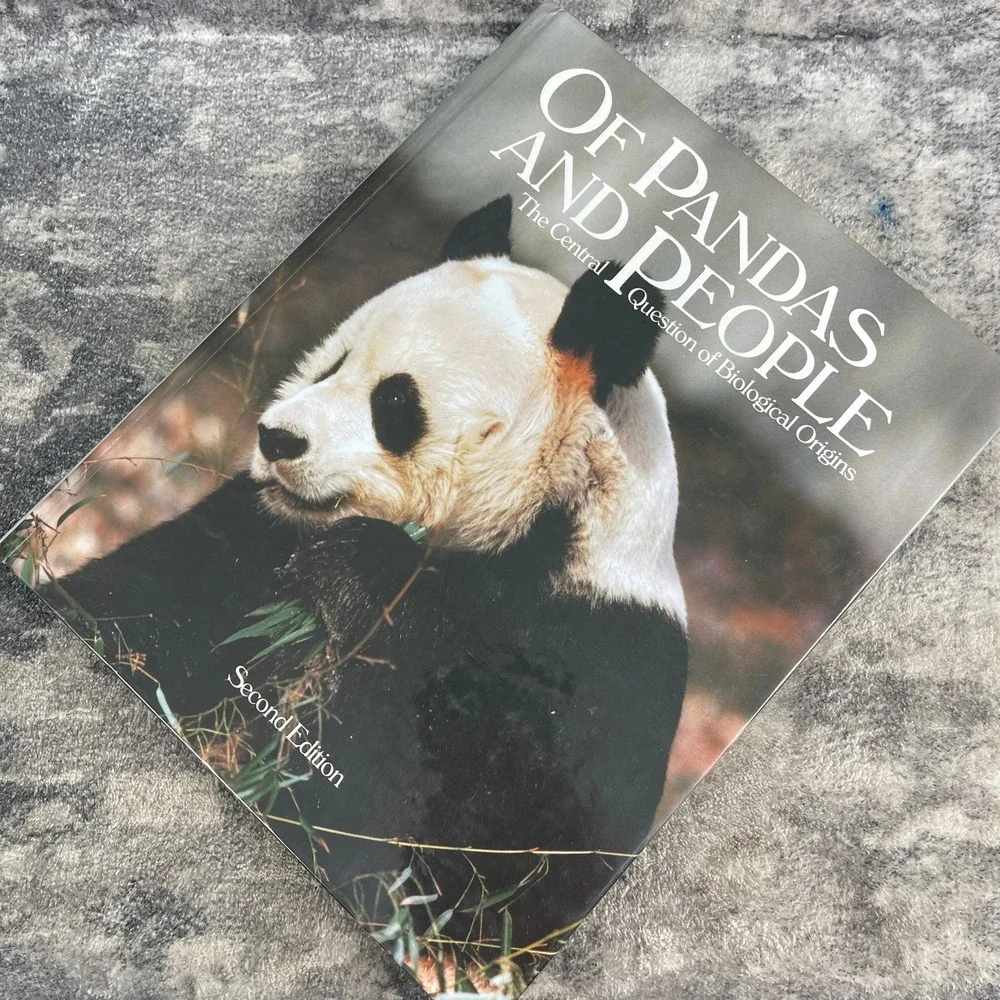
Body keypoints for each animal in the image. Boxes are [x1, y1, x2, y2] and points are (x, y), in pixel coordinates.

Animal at [55, 195, 688, 974]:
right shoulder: (248, 531)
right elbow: (147, 600)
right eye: (333, 364)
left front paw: (357, 576)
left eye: (396, 403)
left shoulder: (606, 655)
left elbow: (493, 856)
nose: (277, 439)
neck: (533, 530)